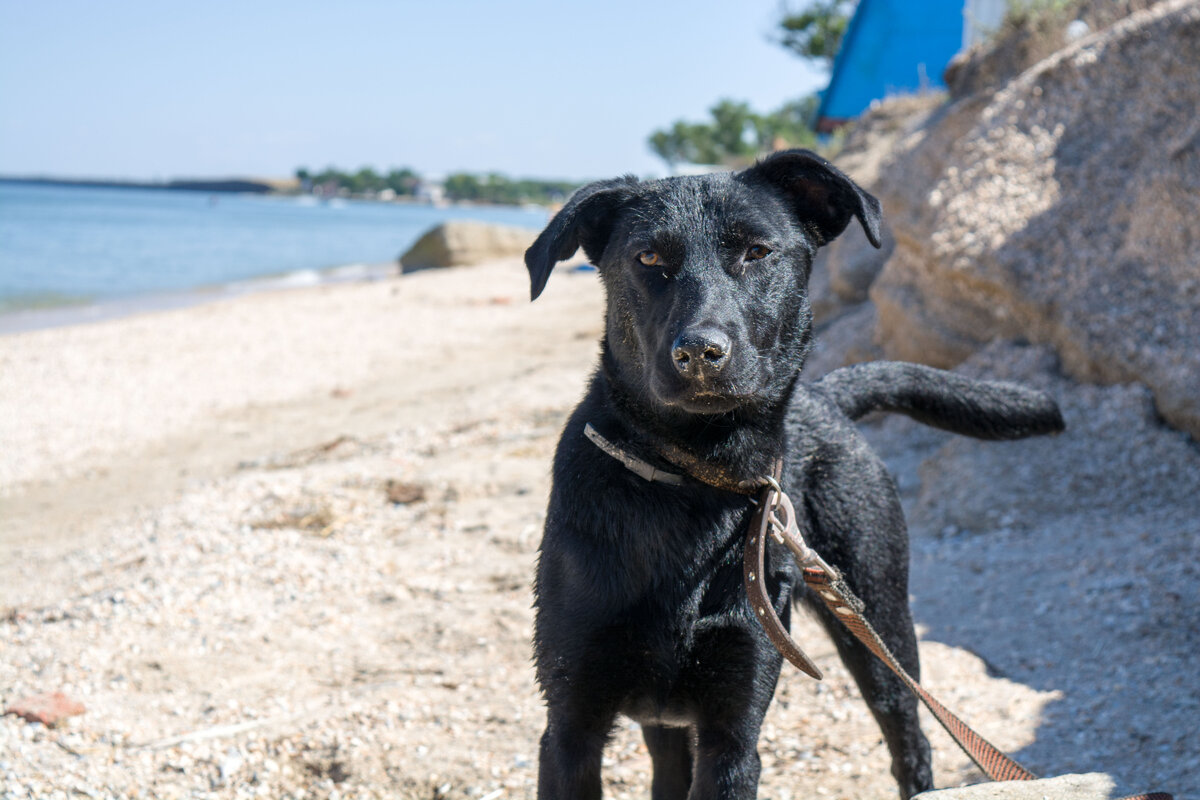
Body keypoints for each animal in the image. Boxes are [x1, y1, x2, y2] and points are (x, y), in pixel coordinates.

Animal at [523, 151, 1060, 800]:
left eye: (757, 252)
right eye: (647, 258)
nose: (699, 353)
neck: (694, 478)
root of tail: (827, 397)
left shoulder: (733, 735)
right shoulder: (569, 729)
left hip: (879, 624)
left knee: (912, 739)